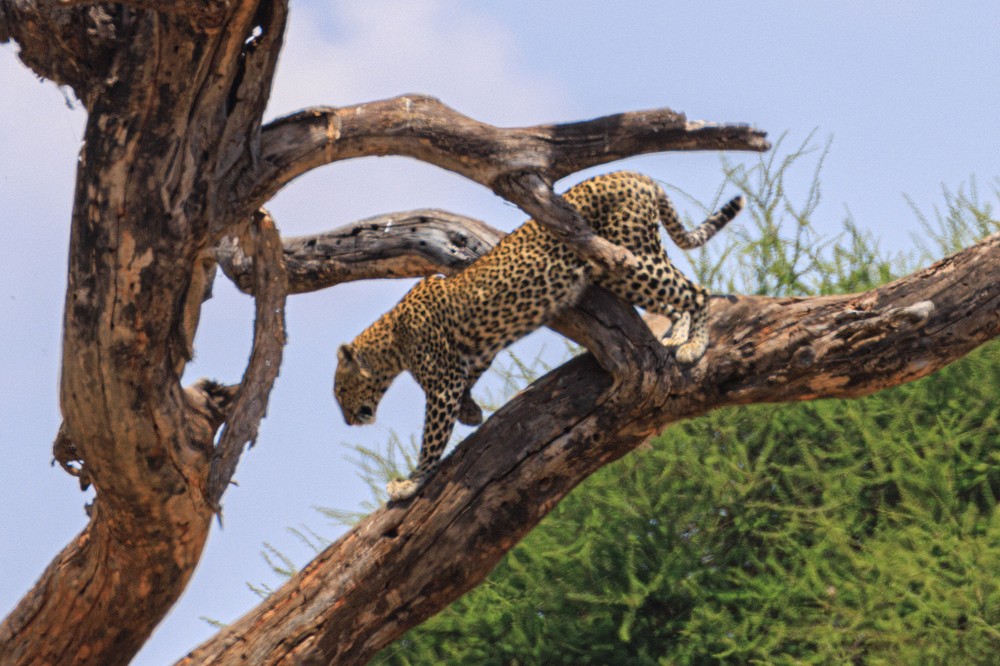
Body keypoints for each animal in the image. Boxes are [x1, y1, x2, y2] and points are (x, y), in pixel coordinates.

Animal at [334, 171, 743, 502]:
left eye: (340, 392)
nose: (347, 422)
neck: (391, 342)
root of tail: (633, 174)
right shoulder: (473, 355)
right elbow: (470, 379)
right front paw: (471, 412)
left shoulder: (441, 384)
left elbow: (432, 438)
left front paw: (410, 483)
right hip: (629, 263)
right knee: (677, 294)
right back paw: (676, 338)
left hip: (629, 258)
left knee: (696, 291)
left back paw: (694, 346)